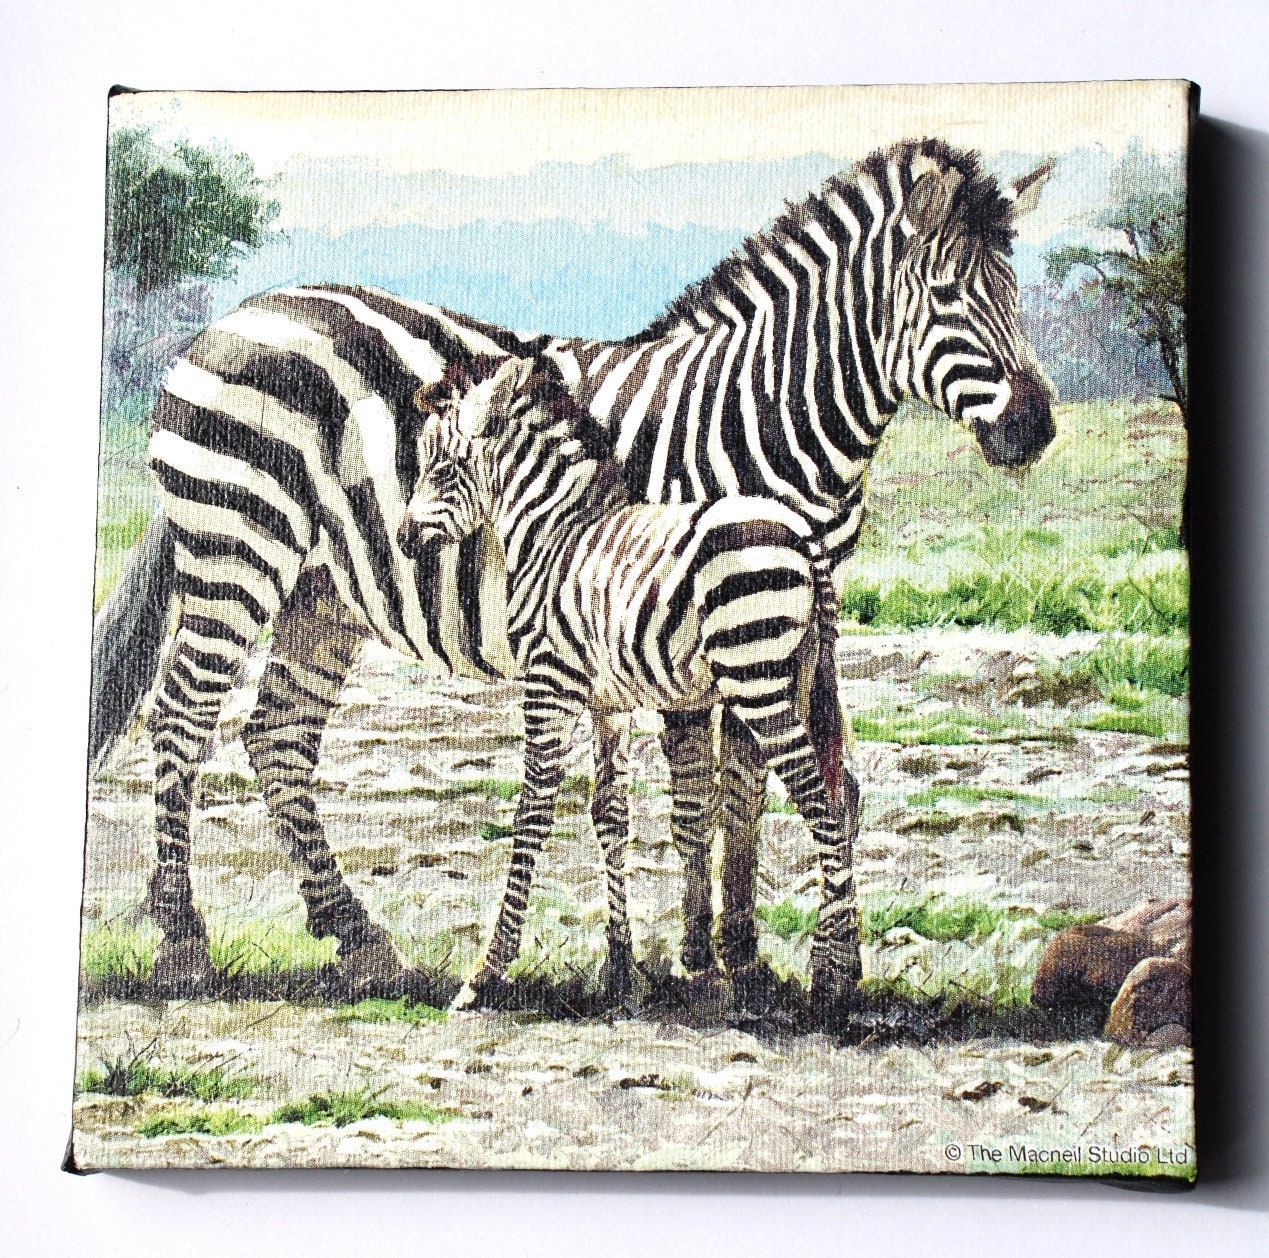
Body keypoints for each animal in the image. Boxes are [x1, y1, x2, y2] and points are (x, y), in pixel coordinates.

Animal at [397, 353, 857, 1016]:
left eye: (445, 467)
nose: (405, 539)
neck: (554, 535)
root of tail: (805, 538)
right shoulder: (606, 703)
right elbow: (609, 814)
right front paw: (621, 974)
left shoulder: (549, 683)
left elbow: (532, 811)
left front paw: (486, 972)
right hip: (802, 675)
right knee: (840, 797)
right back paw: (839, 963)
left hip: (756, 680)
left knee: (819, 802)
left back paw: (830, 981)